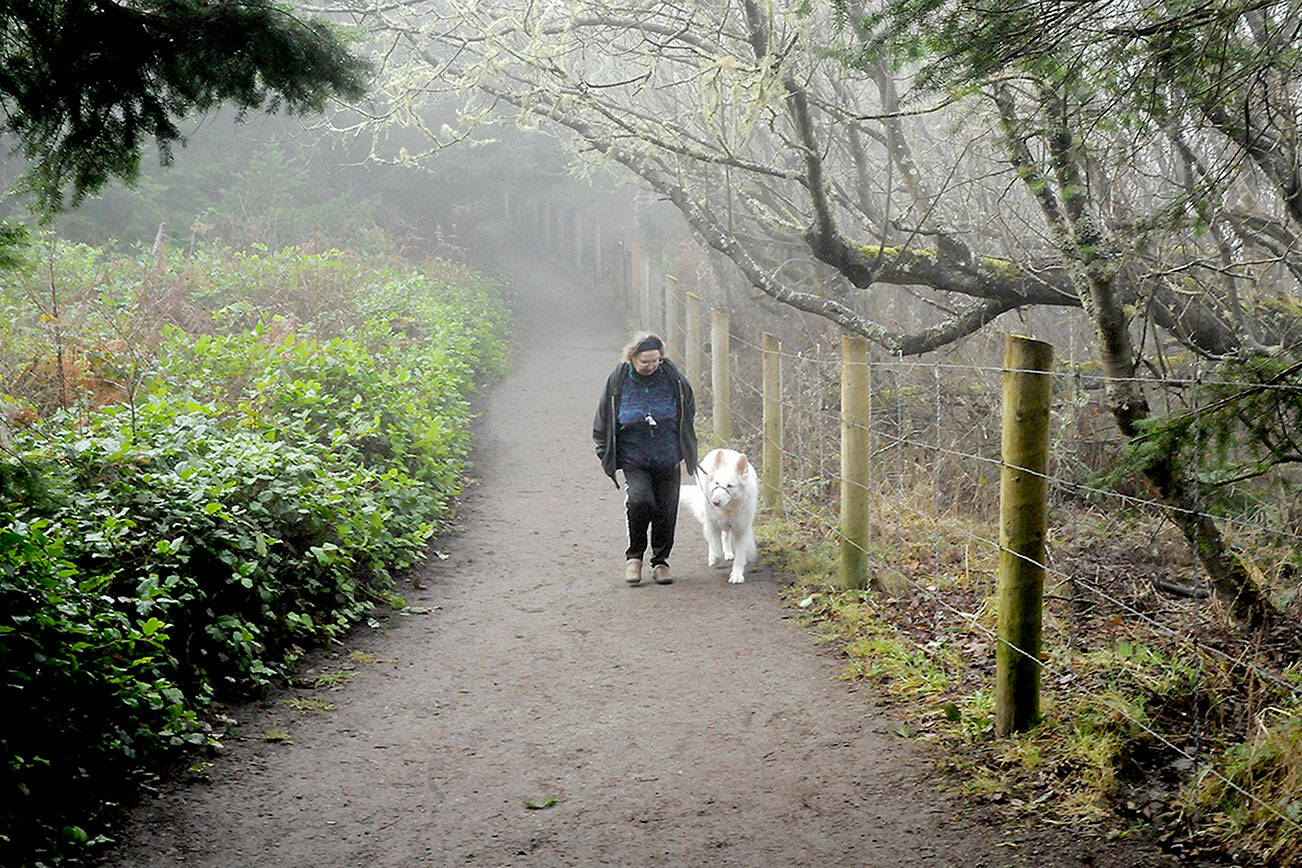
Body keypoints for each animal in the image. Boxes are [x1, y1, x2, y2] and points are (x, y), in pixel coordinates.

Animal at [687, 447, 760, 583]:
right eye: (717, 483)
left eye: (729, 486)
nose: (715, 502)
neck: (728, 508)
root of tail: (722, 449)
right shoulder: (712, 525)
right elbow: (716, 547)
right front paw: (715, 558)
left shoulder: (741, 529)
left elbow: (740, 555)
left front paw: (737, 574)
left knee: (726, 536)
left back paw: (729, 552)